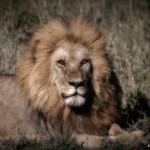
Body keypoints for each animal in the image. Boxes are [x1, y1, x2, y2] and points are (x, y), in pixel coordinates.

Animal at [0, 18, 148, 148]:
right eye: (61, 62)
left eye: (84, 62)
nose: (76, 83)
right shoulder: (66, 135)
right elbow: (103, 141)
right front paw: (136, 139)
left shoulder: (98, 122)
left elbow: (116, 128)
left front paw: (138, 135)